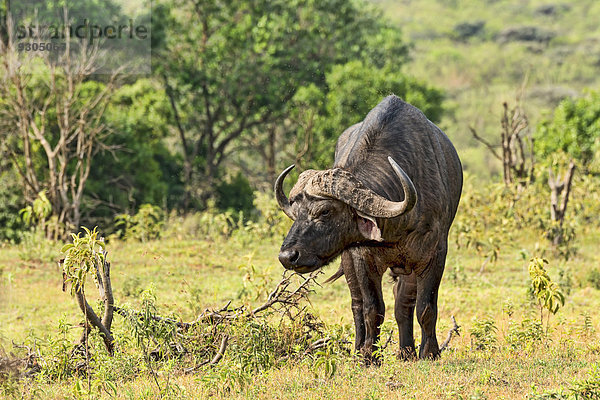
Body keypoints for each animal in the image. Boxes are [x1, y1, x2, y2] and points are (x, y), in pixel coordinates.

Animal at [274, 95, 462, 360]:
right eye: (296, 213)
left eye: (325, 211)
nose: (288, 256)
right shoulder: (362, 257)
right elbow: (372, 309)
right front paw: (368, 356)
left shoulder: (434, 254)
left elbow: (425, 307)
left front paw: (429, 353)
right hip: (349, 262)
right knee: (357, 304)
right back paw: (359, 348)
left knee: (403, 302)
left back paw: (406, 352)